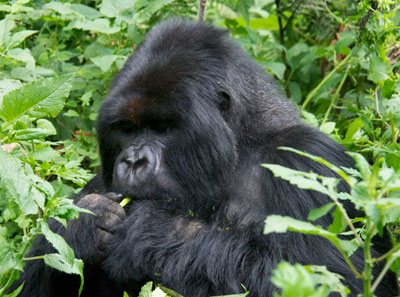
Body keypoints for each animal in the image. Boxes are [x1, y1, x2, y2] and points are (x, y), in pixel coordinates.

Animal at [14, 19, 396, 296]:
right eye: (126, 129)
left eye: (163, 127)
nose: (133, 162)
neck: (240, 147)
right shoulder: (101, 179)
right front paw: (79, 225)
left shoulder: (309, 162)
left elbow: (333, 280)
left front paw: (155, 234)